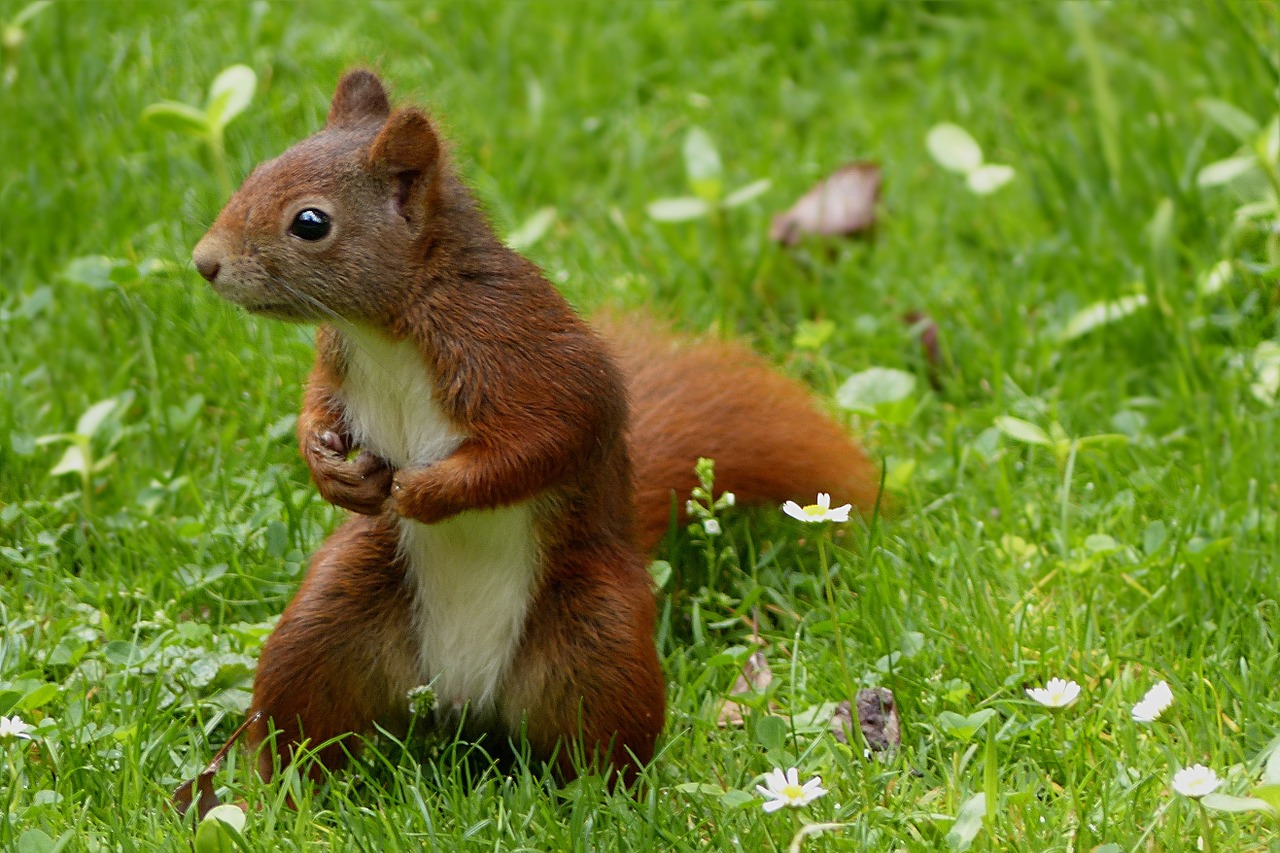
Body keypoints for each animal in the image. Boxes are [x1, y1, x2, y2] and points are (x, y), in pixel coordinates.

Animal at [192, 71, 880, 783]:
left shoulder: (519, 351)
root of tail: (460, 698)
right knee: (304, 715)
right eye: (256, 172)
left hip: (599, 642)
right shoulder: (340, 363)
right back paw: (274, 788)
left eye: (310, 222)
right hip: (332, 621)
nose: (203, 262)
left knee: (604, 746)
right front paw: (328, 467)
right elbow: (318, 407)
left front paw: (428, 492)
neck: (387, 329)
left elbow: (547, 439)